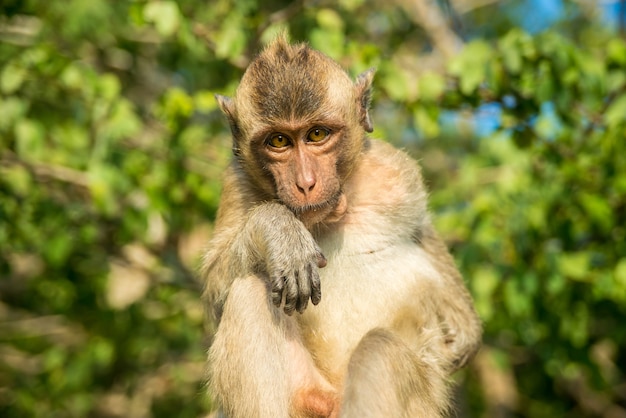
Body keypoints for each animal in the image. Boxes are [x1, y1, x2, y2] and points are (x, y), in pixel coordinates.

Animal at [202, 33, 480, 418]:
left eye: (317, 134)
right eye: (278, 141)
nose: (305, 183)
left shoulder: (396, 171)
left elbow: (422, 234)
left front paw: (465, 330)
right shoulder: (236, 183)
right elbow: (216, 284)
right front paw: (280, 232)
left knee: (379, 350)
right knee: (248, 292)